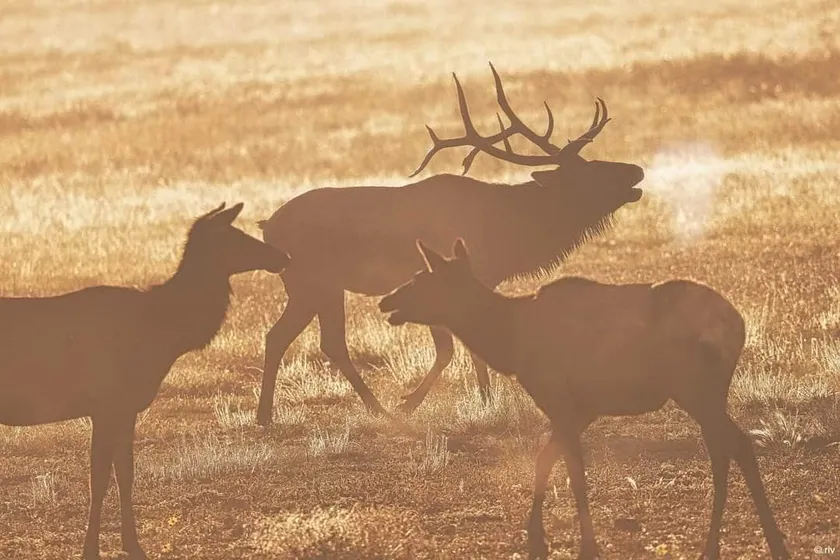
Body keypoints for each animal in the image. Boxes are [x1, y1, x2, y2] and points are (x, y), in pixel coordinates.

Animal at [0, 203, 289, 560]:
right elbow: (98, 478)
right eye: (233, 235)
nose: (283, 256)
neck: (163, 335)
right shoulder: (107, 403)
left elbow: (126, 474)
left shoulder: (127, 408)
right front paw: (91, 549)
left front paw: (133, 544)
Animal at [255, 63, 645, 425]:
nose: (636, 170)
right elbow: (451, 350)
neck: (511, 232)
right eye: (588, 172)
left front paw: (483, 398)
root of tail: (267, 228)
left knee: (311, 340)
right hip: (312, 282)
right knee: (301, 339)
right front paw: (420, 403)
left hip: (320, 287)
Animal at [378, 239, 791, 560]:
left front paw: (585, 545)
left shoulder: (557, 396)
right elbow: (546, 458)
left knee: (729, 447)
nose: (385, 300)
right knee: (731, 447)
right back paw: (756, 542)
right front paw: (537, 537)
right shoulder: (582, 407)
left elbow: (574, 471)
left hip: (695, 388)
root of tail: (738, 325)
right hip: (708, 393)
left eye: (421, 278)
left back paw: (731, 544)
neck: (510, 343)